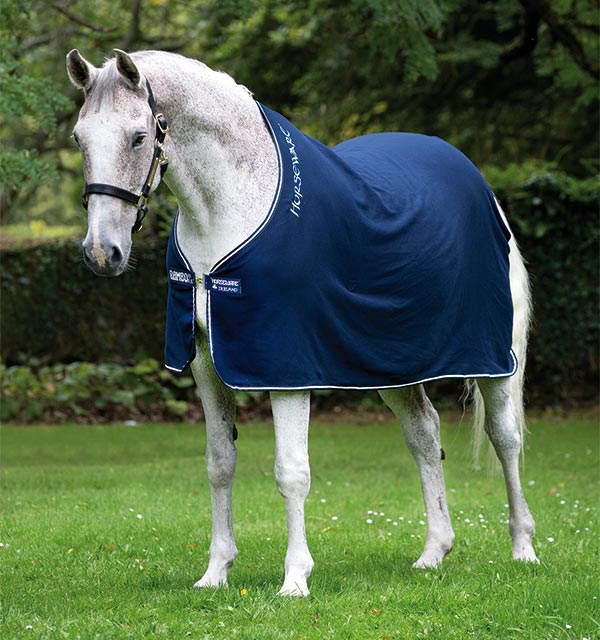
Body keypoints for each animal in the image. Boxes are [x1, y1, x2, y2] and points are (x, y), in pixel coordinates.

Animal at [66, 48, 538, 597]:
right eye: (78, 138)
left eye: (139, 137)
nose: (103, 252)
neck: (231, 207)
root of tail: (481, 186)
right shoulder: (205, 361)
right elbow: (219, 464)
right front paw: (216, 571)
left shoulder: (285, 367)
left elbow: (291, 471)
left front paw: (295, 579)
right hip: (393, 364)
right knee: (424, 434)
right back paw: (433, 552)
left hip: (493, 360)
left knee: (506, 439)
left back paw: (523, 548)